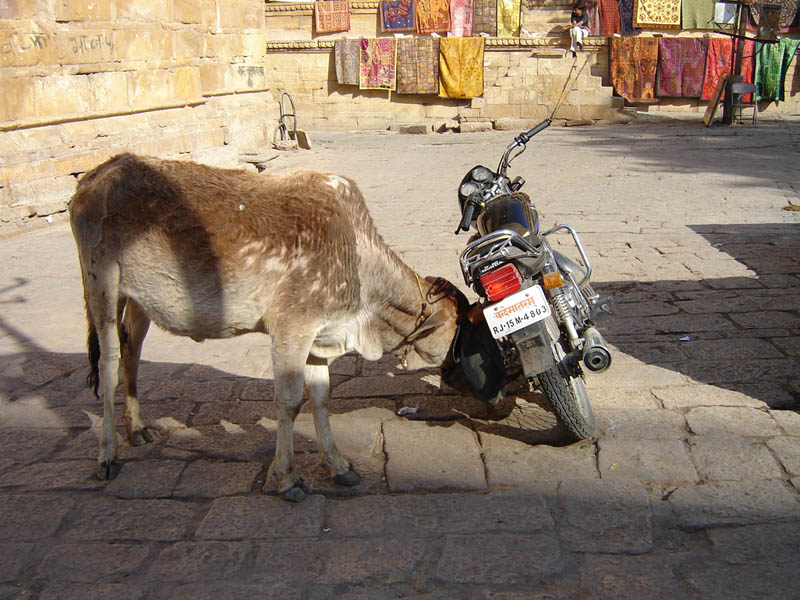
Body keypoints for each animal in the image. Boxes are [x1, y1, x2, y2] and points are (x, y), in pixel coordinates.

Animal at [70, 154, 468, 502]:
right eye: (459, 328)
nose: (453, 371)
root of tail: (100, 173)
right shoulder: (291, 328)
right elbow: (289, 403)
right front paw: (288, 477)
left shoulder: (320, 336)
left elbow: (320, 397)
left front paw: (337, 465)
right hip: (101, 286)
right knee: (108, 363)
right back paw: (107, 455)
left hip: (139, 299)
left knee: (132, 352)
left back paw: (137, 428)